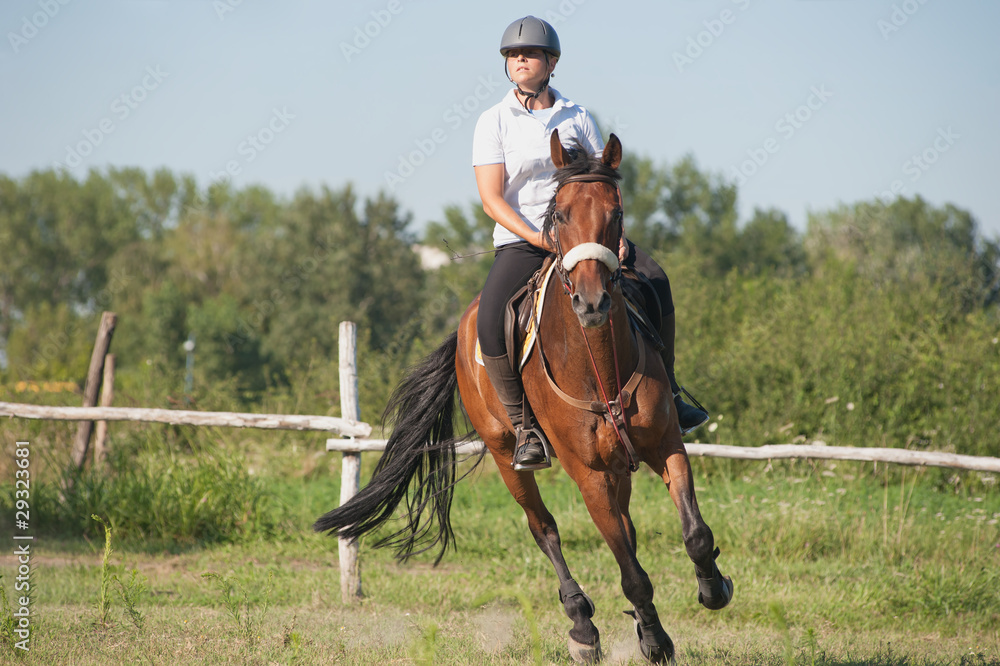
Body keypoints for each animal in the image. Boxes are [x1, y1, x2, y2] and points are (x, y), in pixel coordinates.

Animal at [316, 128, 732, 660]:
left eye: (615, 213)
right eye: (561, 214)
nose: (592, 302)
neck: (599, 364)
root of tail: (464, 326)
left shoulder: (664, 445)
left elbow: (693, 534)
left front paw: (712, 588)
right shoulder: (587, 474)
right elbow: (630, 573)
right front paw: (656, 641)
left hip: (618, 464)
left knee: (626, 530)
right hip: (504, 453)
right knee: (545, 528)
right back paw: (582, 626)